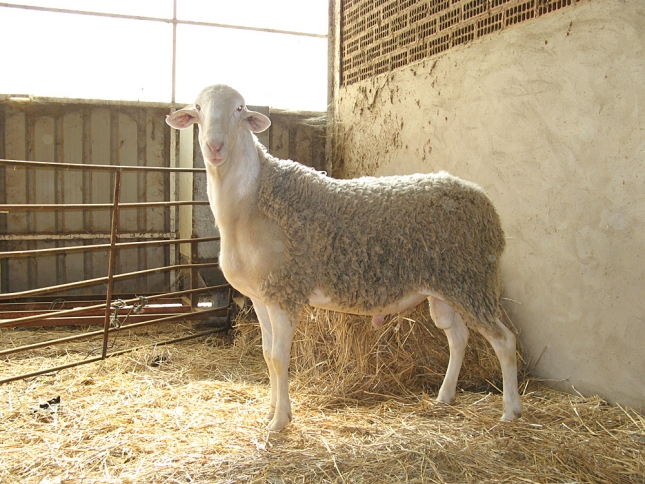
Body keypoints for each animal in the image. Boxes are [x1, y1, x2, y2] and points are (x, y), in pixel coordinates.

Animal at [167, 83, 524, 432]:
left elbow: (280, 359)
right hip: (447, 288)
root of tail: (484, 203)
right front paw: (270, 412)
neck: (252, 200)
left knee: (505, 340)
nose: (215, 146)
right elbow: (268, 355)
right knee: (458, 337)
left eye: (240, 109)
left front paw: (279, 422)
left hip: (473, 281)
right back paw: (445, 396)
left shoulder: (285, 291)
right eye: (198, 107)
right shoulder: (260, 296)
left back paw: (511, 411)